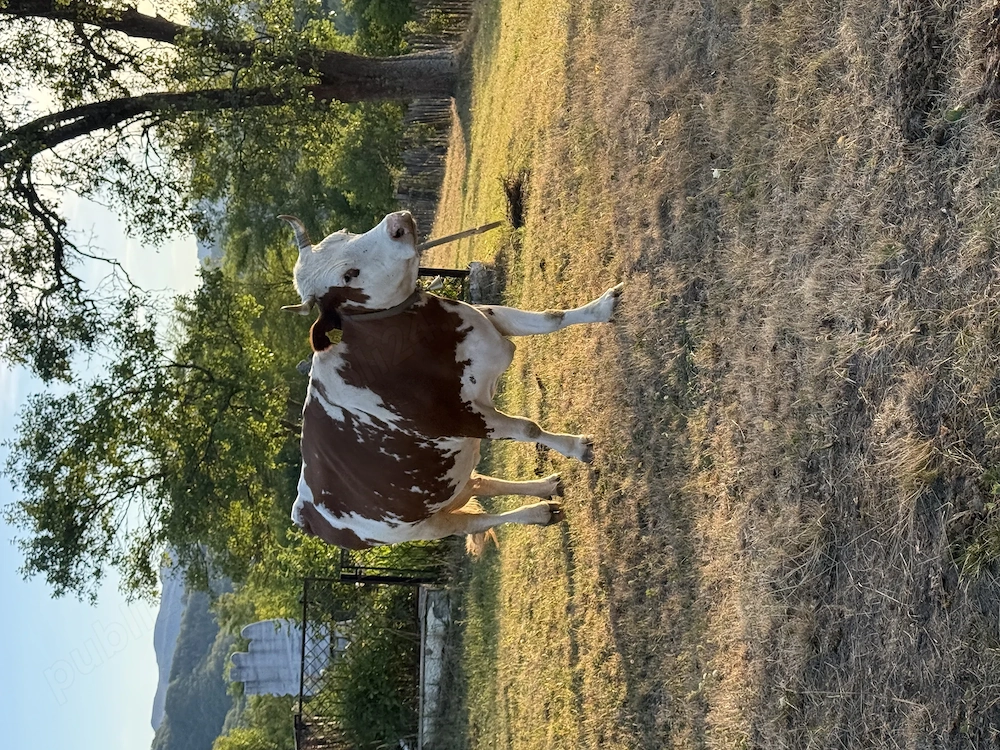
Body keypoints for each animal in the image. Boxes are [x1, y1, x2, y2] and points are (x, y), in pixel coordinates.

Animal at [280, 210, 622, 552]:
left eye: (344, 234)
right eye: (349, 275)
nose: (397, 222)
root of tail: (304, 514)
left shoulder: (487, 322)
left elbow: (552, 318)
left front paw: (604, 307)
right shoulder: (465, 420)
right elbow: (528, 428)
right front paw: (577, 447)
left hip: (449, 484)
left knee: (479, 483)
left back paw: (546, 487)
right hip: (421, 528)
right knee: (478, 521)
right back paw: (537, 512)